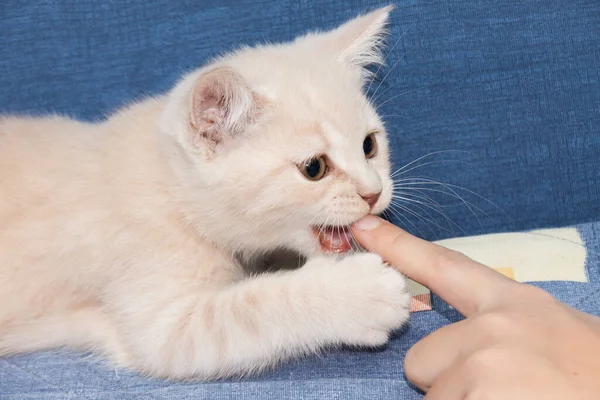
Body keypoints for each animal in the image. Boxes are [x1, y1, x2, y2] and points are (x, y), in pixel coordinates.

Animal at [0, 7, 410, 380]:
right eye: (314, 168)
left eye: (369, 145)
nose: (373, 192)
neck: (171, 188)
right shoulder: (161, 324)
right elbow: (246, 311)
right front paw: (357, 293)